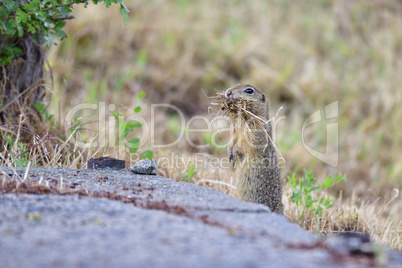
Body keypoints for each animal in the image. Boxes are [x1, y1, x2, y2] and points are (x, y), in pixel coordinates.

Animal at [217, 84, 282, 214]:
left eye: (249, 90)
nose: (227, 92)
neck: (244, 119)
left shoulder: (254, 133)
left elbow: (242, 145)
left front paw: (234, 153)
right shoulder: (236, 131)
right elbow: (233, 140)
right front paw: (229, 153)